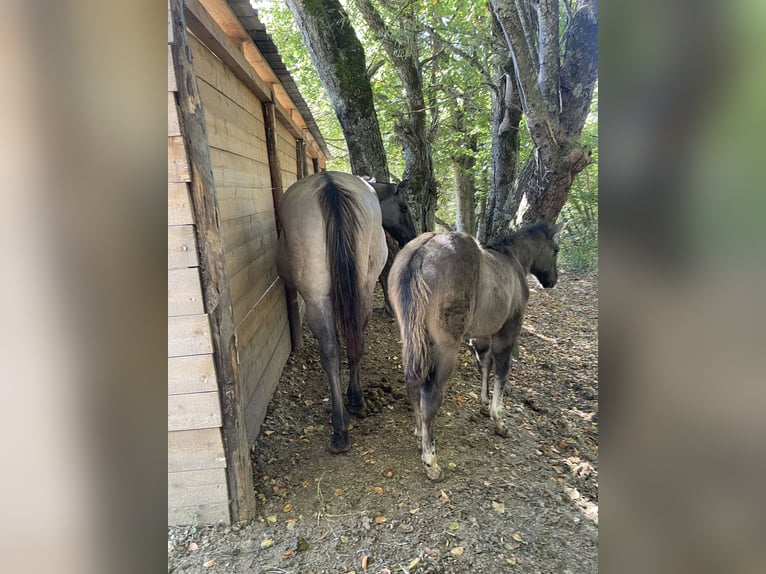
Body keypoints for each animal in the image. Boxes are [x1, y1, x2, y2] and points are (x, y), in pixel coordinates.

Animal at [276, 171, 417, 454]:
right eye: (404, 207)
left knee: (333, 349)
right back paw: (353, 404)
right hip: (360, 289)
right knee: (353, 342)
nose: (412, 236)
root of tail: (329, 185)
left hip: (319, 296)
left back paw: (342, 421)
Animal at [388, 221, 564, 480]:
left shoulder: (480, 334)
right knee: (429, 394)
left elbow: (484, 363)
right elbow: (502, 371)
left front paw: (483, 403)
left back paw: (420, 434)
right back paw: (431, 460)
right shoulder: (508, 330)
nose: (552, 279)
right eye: (556, 249)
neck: (514, 260)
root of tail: (420, 253)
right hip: (445, 346)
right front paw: (498, 420)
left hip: (412, 337)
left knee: (412, 382)